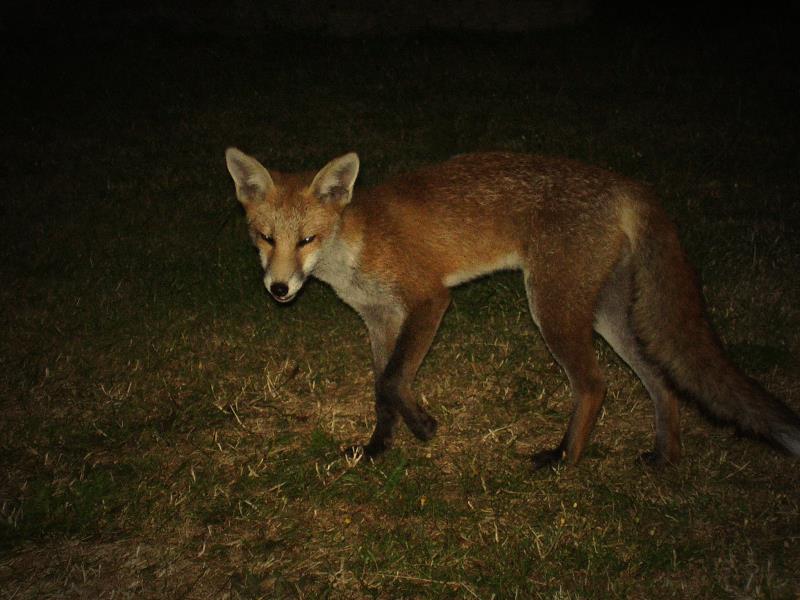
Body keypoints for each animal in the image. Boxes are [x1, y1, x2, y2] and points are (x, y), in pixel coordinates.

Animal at [222, 148, 800, 466]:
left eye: (307, 239)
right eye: (265, 237)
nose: (279, 289)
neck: (356, 246)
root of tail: (626, 183)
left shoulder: (429, 299)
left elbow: (392, 379)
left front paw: (415, 432)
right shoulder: (380, 319)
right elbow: (385, 387)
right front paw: (386, 444)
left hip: (552, 306)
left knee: (595, 385)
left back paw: (565, 459)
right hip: (604, 313)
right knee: (661, 380)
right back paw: (664, 456)